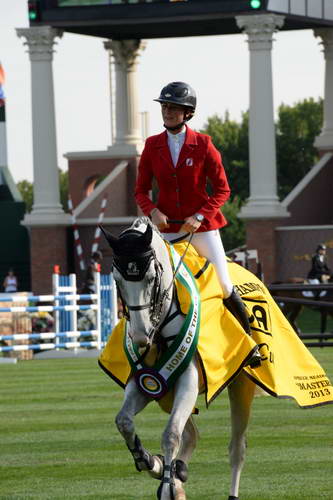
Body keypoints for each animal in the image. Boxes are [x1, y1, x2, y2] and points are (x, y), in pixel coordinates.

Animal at [100, 218, 258, 500]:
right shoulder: (147, 380)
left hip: (241, 386)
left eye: (151, 278)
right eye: (117, 280)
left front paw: (166, 484)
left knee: (237, 449)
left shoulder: (188, 380)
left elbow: (171, 434)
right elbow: (124, 422)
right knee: (192, 435)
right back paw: (178, 472)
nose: (140, 337)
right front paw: (150, 461)